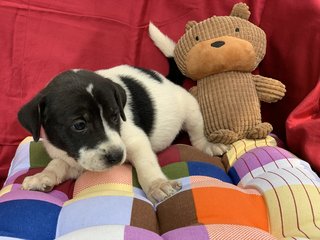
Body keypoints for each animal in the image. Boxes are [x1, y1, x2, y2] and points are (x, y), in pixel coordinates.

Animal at [17, 65, 229, 202]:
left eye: (114, 116)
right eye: (79, 125)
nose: (117, 156)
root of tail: (166, 79)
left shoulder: (136, 141)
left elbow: (146, 165)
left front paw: (157, 184)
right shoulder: (75, 158)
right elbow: (56, 164)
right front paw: (42, 176)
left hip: (190, 110)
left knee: (197, 134)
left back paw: (208, 145)